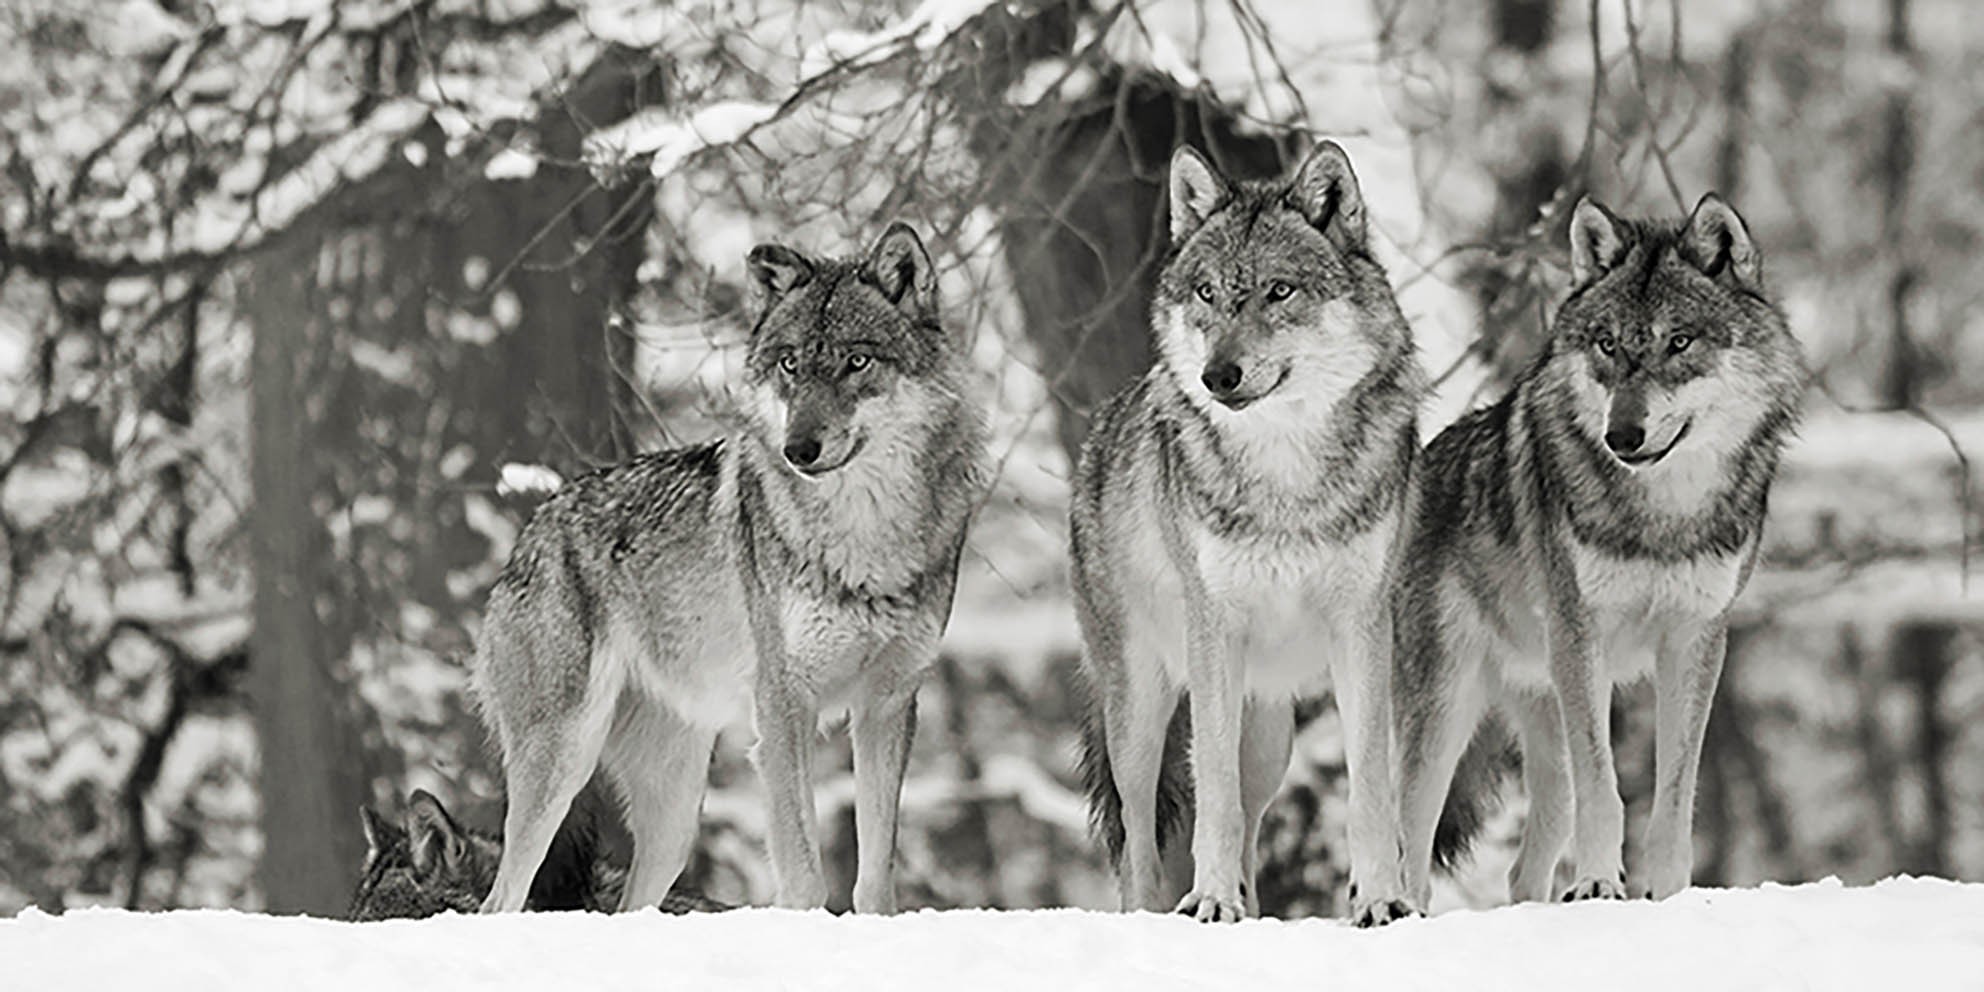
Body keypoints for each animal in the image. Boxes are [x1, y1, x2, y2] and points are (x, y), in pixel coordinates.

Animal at [472, 223, 986, 915]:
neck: (863, 536)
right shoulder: (783, 703)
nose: (799, 450)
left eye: (857, 362)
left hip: (675, 818)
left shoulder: (889, 704)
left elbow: (876, 873)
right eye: (790, 364)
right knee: (499, 899)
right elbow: (803, 871)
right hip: (561, 761)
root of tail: (531, 529)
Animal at [1072, 141, 1425, 926]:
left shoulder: (1364, 627)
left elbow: (1371, 789)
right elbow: (1212, 802)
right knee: (1140, 838)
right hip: (1140, 715)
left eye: (1278, 292)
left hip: (1269, 735)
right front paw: (1207, 900)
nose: (1217, 376)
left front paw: (1380, 900)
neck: (1285, 473)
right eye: (1206, 293)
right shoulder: (1214, 630)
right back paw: (1154, 913)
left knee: (1252, 816)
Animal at [1392, 194, 1803, 911]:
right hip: (1445, 710)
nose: (1622, 435)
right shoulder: (1582, 637)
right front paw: (1596, 886)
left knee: (1523, 865)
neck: (1663, 515)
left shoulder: (1696, 641)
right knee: (1409, 839)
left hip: (1542, 723)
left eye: (1679, 341)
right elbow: (1605, 789)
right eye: (1608, 344)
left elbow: (1673, 798)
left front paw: (1667, 895)